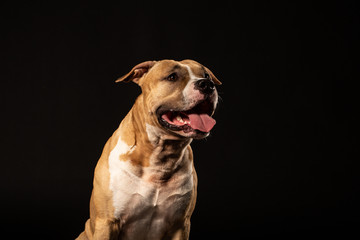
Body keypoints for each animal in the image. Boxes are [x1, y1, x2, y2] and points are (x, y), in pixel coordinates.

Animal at [77, 59, 221, 239]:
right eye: (172, 77)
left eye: (206, 75)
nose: (207, 85)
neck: (161, 156)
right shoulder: (107, 222)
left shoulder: (180, 225)